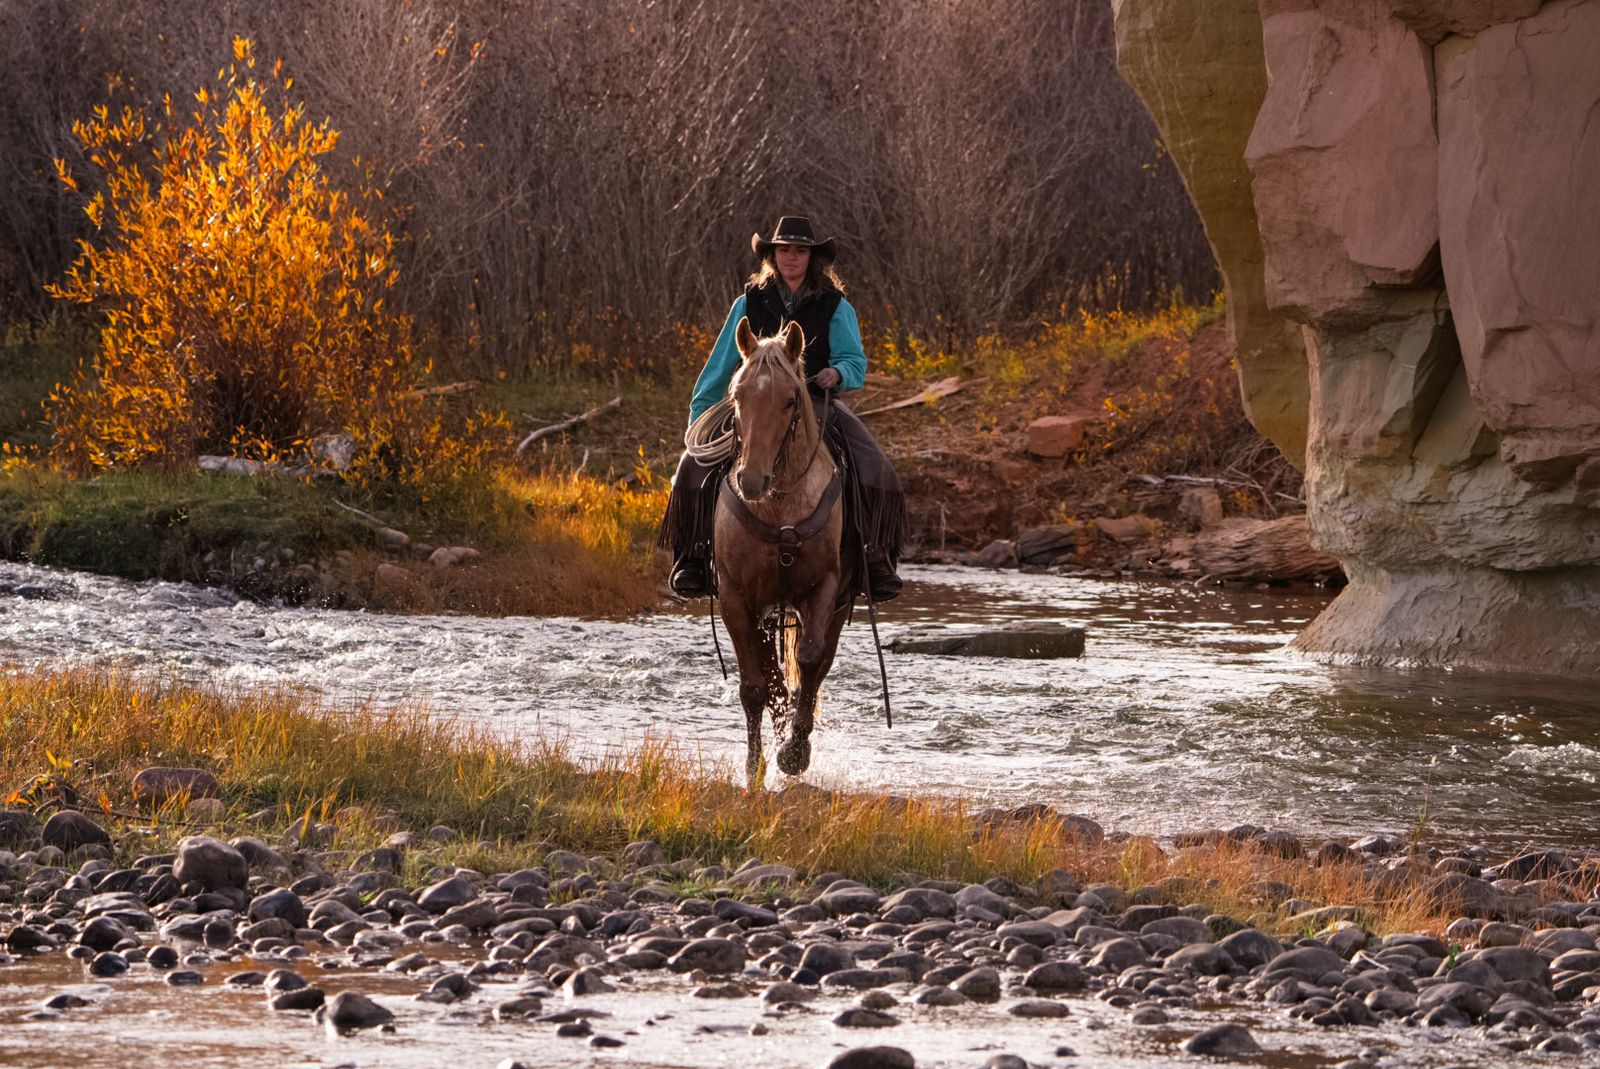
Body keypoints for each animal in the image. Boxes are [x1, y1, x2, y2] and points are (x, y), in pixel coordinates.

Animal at [715, 317, 852, 787]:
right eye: (737, 395)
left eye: (790, 400)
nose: (751, 480)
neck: (780, 509)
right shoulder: (737, 599)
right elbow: (754, 687)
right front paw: (754, 768)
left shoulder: (825, 588)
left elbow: (809, 663)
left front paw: (795, 752)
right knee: (771, 677)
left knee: (816, 666)